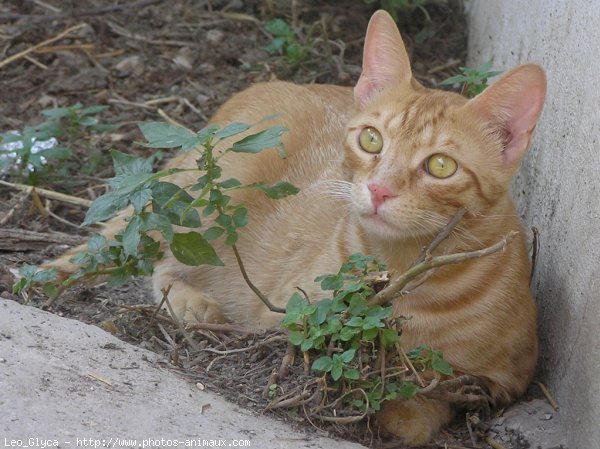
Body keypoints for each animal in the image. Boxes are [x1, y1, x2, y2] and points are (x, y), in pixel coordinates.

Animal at [49, 10, 548, 444]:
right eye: (372, 140)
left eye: (440, 166)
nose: (379, 190)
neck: (401, 273)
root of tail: (277, 83)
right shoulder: (286, 316)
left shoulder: (510, 380)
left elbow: (439, 397)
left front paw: (402, 408)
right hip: (200, 194)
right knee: (143, 250)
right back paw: (190, 303)